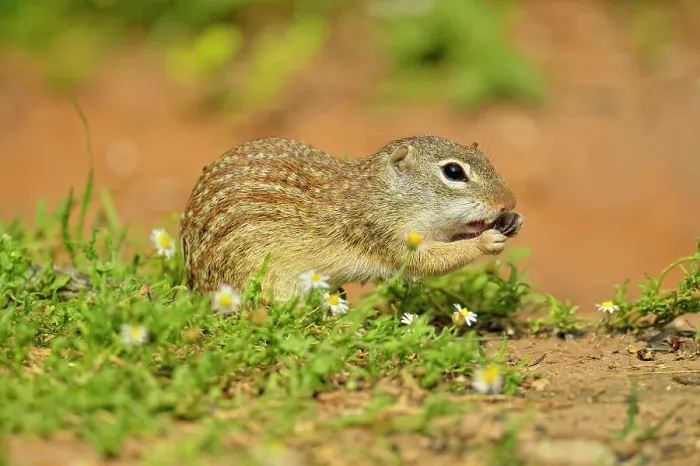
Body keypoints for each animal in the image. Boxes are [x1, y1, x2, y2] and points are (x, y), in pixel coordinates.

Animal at [180, 135, 524, 303]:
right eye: (453, 171)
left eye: (485, 159)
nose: (509, 201)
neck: (381, 193)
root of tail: (196, 285)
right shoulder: (385, 234)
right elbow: (428, 263)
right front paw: (486, 241)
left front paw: (511, 221)